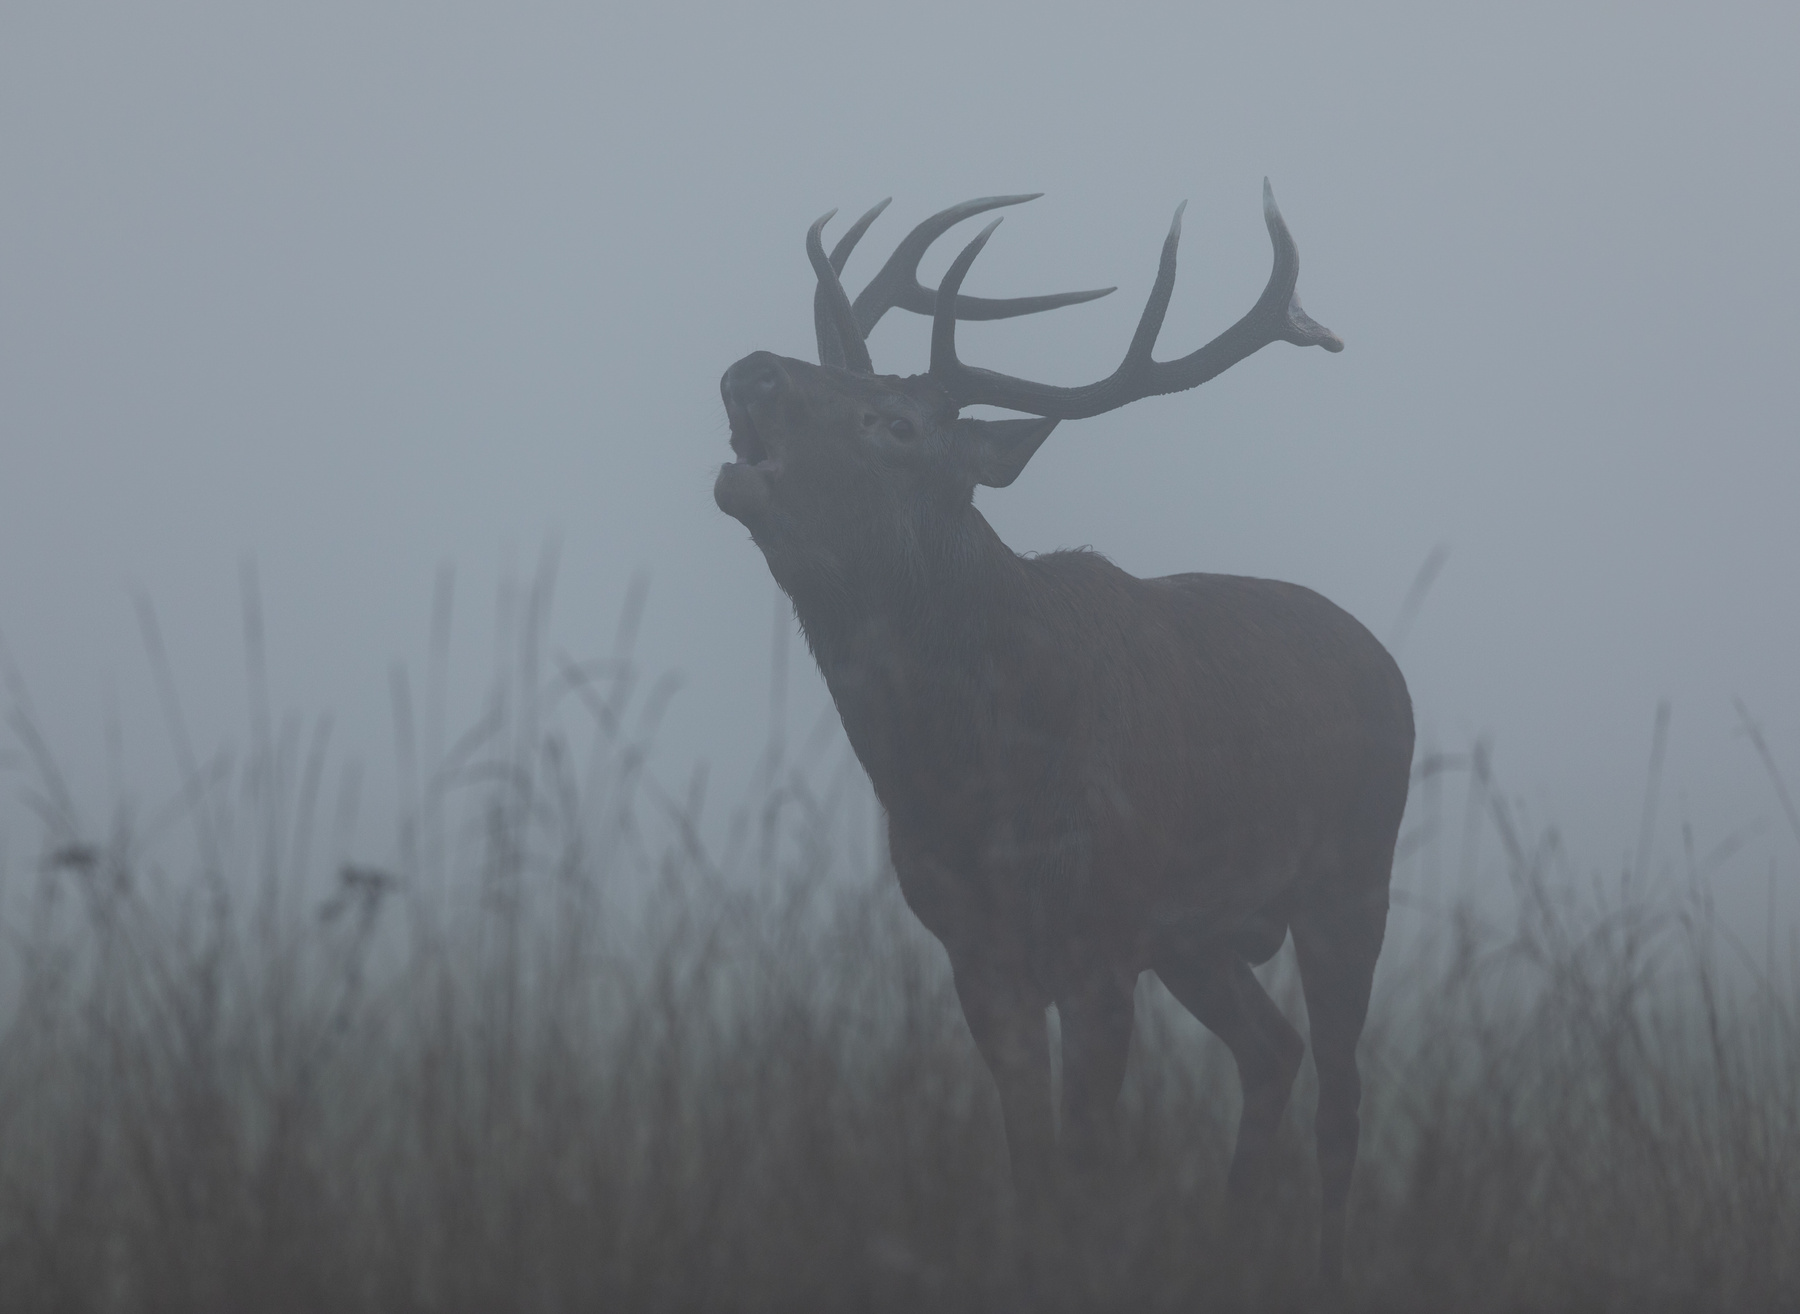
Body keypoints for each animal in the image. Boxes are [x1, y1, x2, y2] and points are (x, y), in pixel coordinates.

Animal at [713, 182, 1413, 1290]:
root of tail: (1388, 665)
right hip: (1199, 936)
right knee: (1273, 1052)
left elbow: (1086, 1168)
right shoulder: (977, 950)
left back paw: (1323, 1272)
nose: (753, 370)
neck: (970, 783)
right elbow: (1033, 1167)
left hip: (1351, 874)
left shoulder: (1099, 936)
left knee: (1341, 1098)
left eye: (895, 423)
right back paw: (1226, 1248)